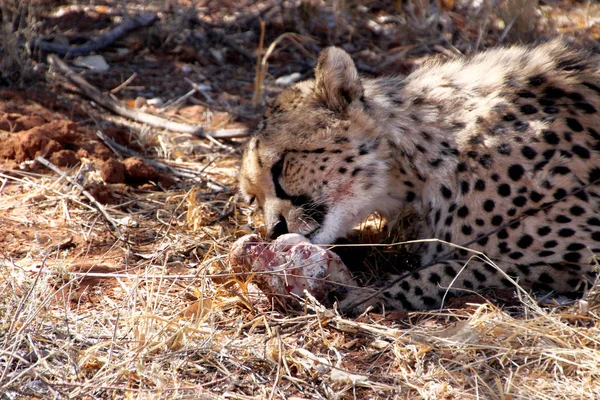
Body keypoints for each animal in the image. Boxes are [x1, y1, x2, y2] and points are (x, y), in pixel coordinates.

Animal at [239, 38, 600, 312]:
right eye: (253, 197)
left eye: (281, 166)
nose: (274, 230)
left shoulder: (583, 259)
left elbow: (464, 268)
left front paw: (365, 295)